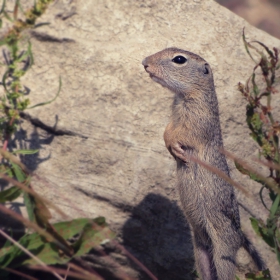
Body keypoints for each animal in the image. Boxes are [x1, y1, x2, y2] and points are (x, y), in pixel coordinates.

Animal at [141, 47, 266, 278]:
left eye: (179, 59)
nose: (145, 62)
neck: (186, 96)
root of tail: (240, 236)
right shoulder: (174, 116)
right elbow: (167, 129)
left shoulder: (197, 123)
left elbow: (180, 133)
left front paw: (174, 146)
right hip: (200, 250)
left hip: (223, 252)